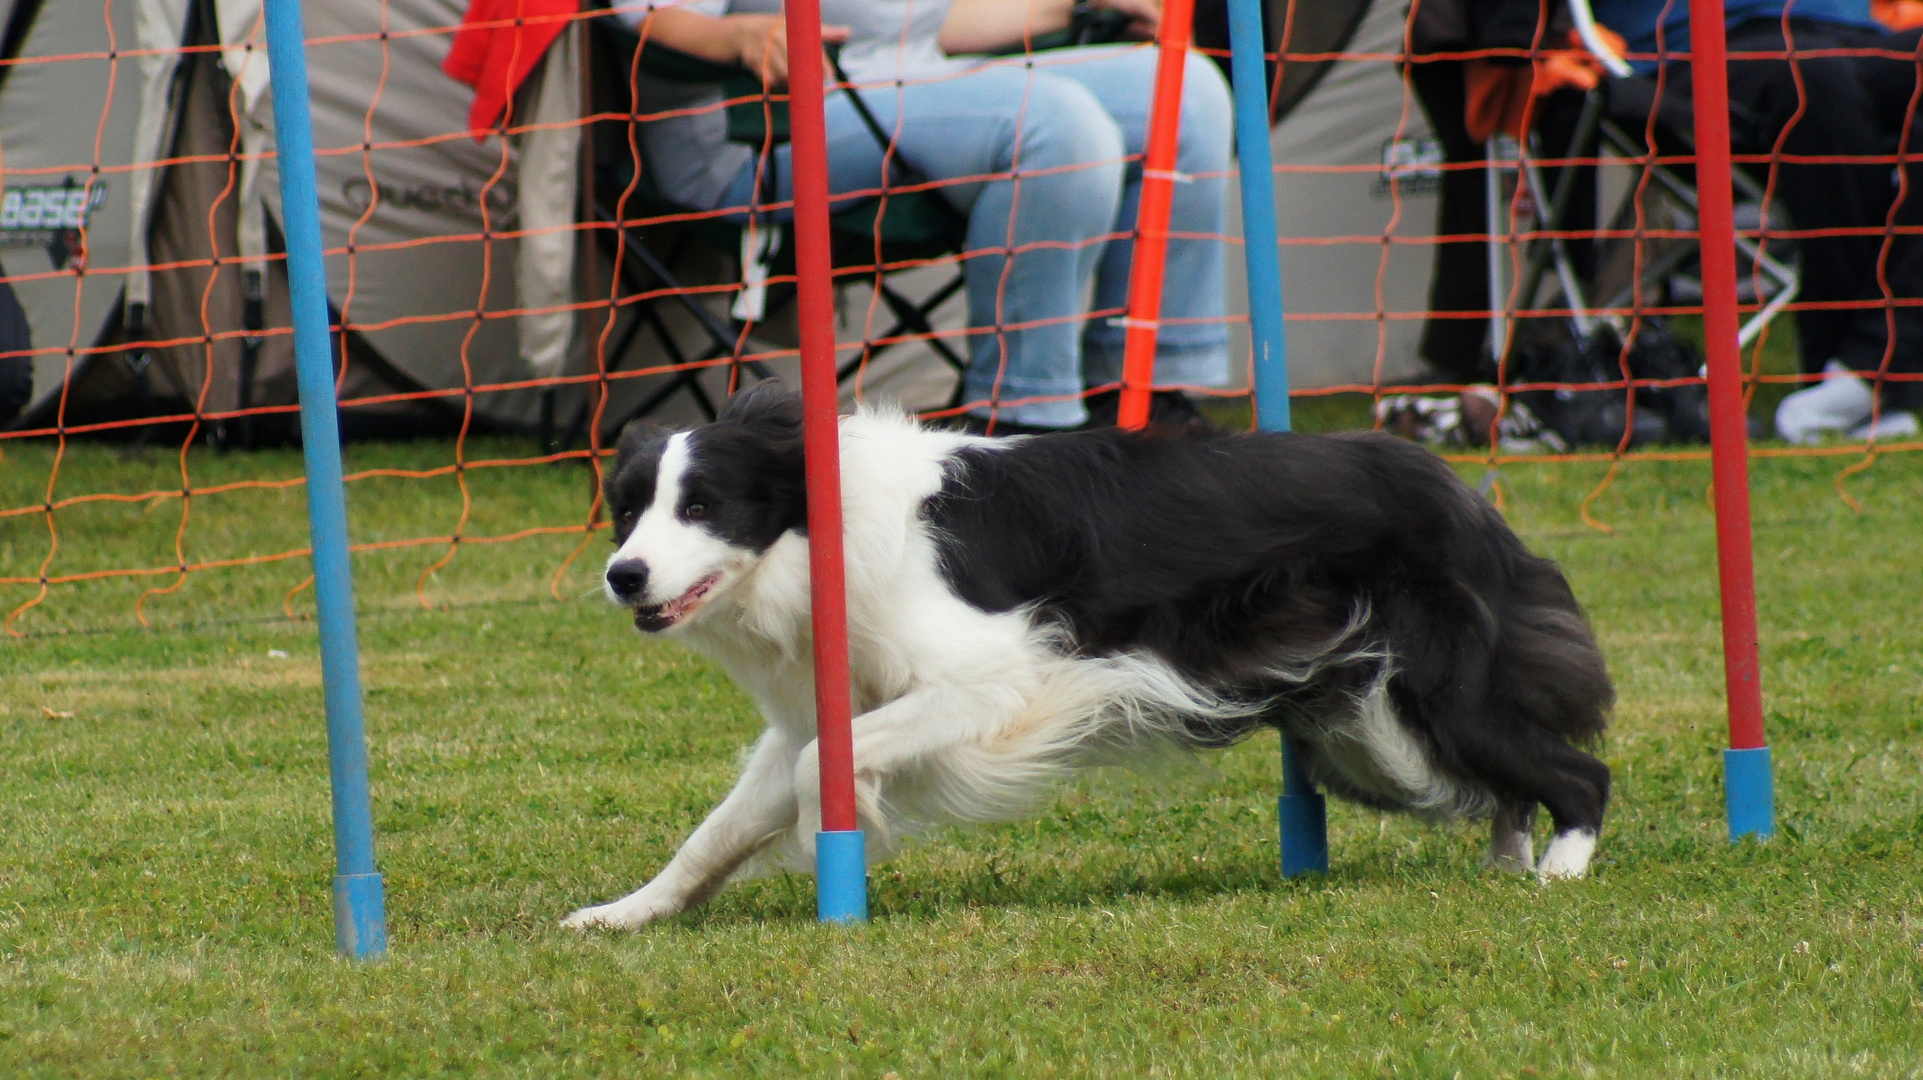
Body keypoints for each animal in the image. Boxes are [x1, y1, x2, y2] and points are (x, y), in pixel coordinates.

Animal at [561, 380, 1615, 926]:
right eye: (627, 510)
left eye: (703, 506)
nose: (623, 575)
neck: (818, 529)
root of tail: (1457, 487)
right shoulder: (823, 699)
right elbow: (720, 827)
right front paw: (626, 913)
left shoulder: (992, 675)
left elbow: (831, 758)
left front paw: (844, 827)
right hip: (1366, 724)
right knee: (1508, 784)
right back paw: (1505, 865)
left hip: (1423, 695)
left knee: (1577, 772)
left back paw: (1557, 875)